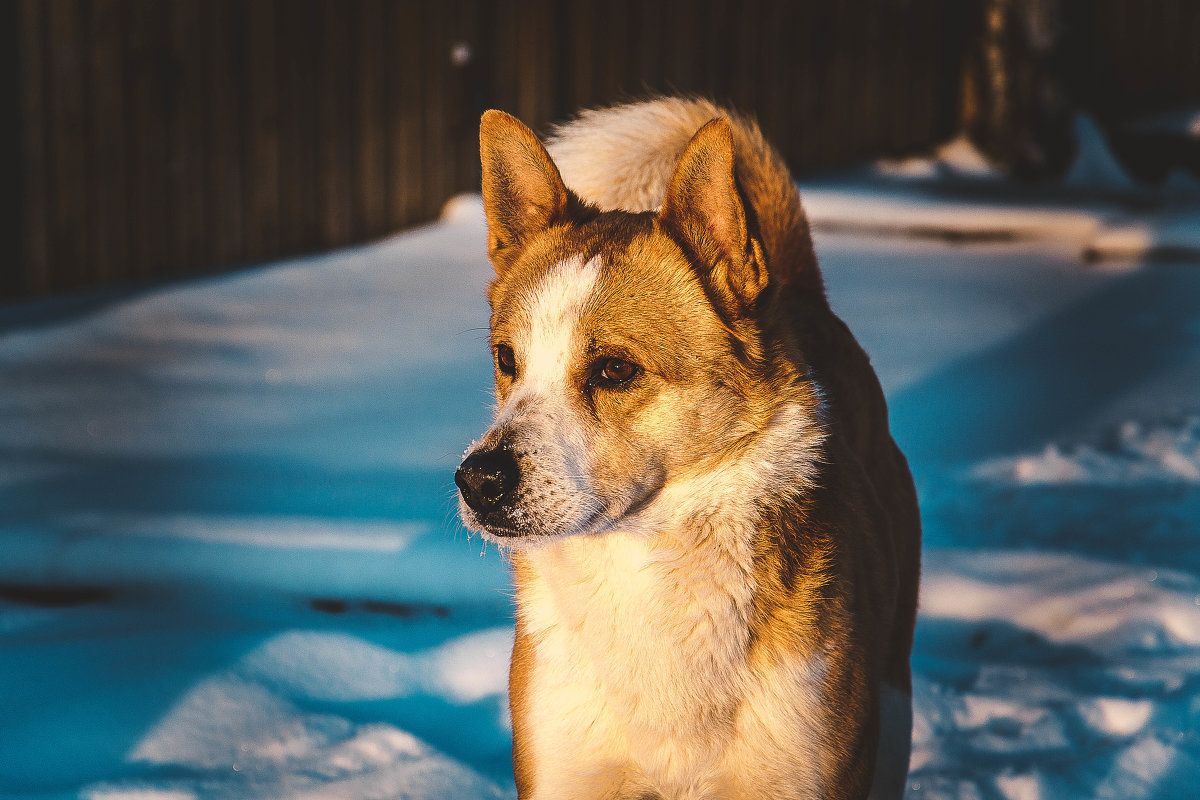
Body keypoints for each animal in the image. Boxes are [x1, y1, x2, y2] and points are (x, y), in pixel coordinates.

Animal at [453, 97, 921, 796]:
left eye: (614, 369)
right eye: (507, 359)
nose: (477, 481)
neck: (643, 567)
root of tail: (797, 292)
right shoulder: (567, 768)